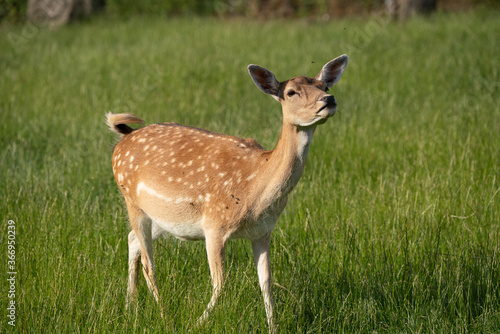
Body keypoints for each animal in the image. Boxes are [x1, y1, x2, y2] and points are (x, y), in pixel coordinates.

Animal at [105, 54, 348, 332]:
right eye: (291, 92)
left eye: (324, 86)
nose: (328, 100)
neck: (255, 189)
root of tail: (123, 140)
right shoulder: (215, 225)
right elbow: (221, 284)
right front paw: (196, 324)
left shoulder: (263, 231)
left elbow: (266, 282)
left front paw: (273, 327)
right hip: (131, 200)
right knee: (148, 262)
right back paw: (163, 316)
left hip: (162, 217)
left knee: (132, 241)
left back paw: (130, 306)